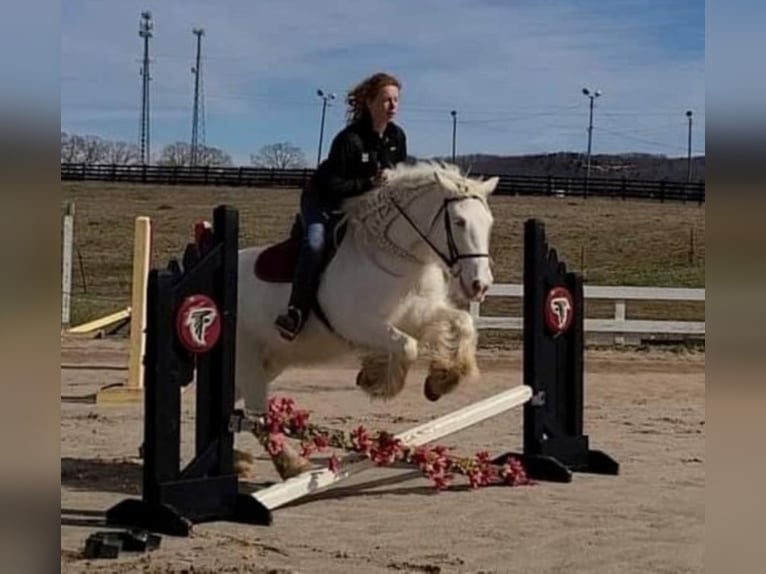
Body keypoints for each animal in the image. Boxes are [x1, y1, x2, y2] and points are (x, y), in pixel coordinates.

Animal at [234, 161, 498, 476]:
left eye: (489, 222)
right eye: (458, 222)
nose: (480, 285)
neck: (395, 257)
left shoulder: (416, 313)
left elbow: (462, 323)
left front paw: (442, 380)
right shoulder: (358, 325)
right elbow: (407, 346)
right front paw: (377, 382)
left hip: (267, 364)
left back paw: (244, 461)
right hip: (248, 360)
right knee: (255, 417)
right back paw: (292, 464)